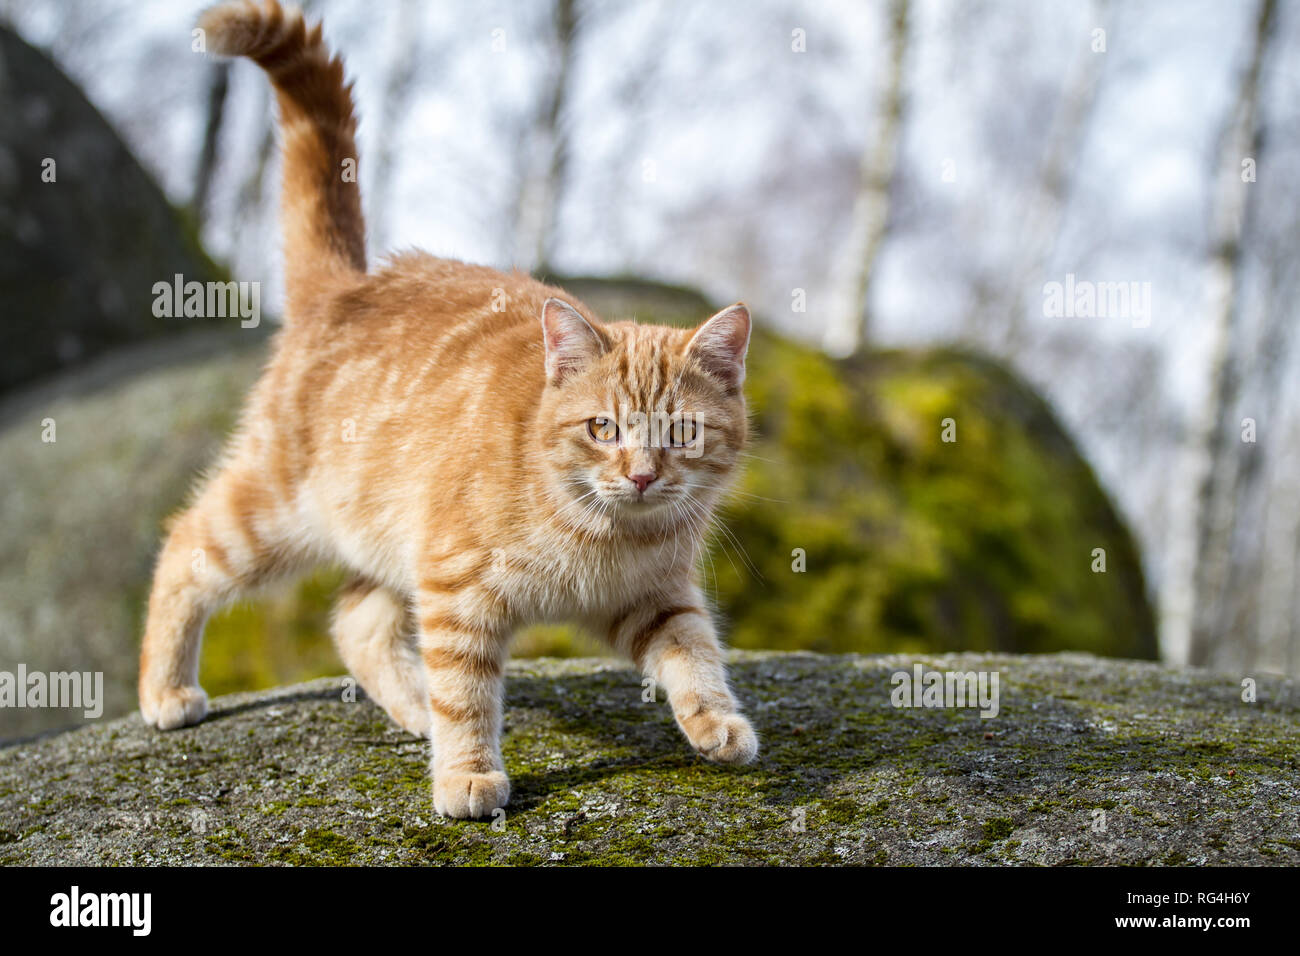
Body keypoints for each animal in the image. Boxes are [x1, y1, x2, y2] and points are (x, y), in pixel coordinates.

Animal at [137, 1, 759, 822]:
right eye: (603, 428)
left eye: (681, 432)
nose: (642, 475)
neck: (604, 535)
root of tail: (351, 284)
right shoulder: (457, 590)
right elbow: (466, 694)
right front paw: (467, 774)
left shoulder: (655, 599)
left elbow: (695, 654)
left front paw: (718, 723)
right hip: (271, 514)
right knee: (184, 548)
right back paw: (167, 689)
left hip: (386, 536)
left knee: (355, 622)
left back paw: (410, 708)